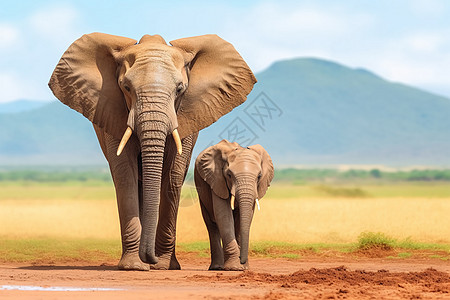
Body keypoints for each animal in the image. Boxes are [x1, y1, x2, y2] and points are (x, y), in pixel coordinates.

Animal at [48, 32, 256, 270]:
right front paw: (134, 266)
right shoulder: (112, 112)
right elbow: (124, 173)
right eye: (126, 87)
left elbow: (174, 175)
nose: (150, 258)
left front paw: (163, 266)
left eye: (180, 89)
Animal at [194, 139, 274, 270]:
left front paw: (243, 268)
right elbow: (223, 214)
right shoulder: (216, 178)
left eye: (259, 176)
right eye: (229, 175)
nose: (242, 261)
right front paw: (234, 268)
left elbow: (244, 217)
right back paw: (217, 267)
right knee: (211, 224)